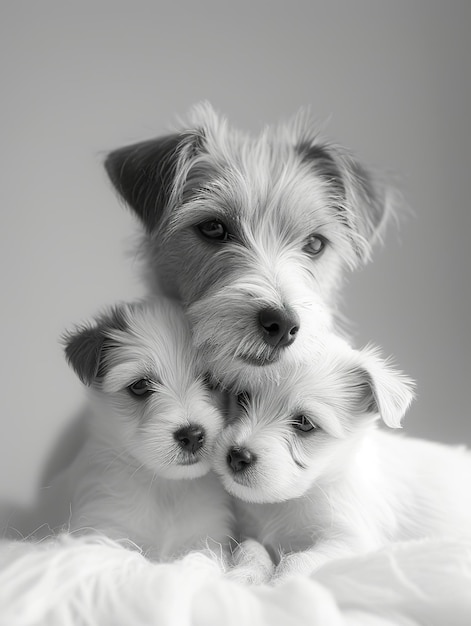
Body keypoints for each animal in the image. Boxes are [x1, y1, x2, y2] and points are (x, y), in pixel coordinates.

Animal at [45, 298, 233, 560]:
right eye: (140, 386)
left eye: (212, 380)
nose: (192, 436)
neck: (167, 489)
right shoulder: (106, 529)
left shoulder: (205, 539)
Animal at [216, 338, 471, 584]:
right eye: (242, 398)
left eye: (305, 423)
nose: (237, 456)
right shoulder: (247, 532)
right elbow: (253, 550)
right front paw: (243, 577)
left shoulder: (350, 540)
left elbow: (299, 559)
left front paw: (284, 583)